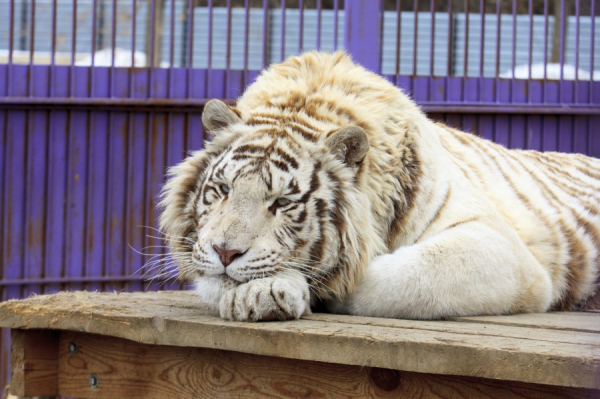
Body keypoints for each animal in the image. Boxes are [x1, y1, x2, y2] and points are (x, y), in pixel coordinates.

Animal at [159, 52, 600, 322]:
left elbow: (395, 276)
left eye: (282, 202)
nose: (225, 252)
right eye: (222, 190)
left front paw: (271, 289)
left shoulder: (499, 245)